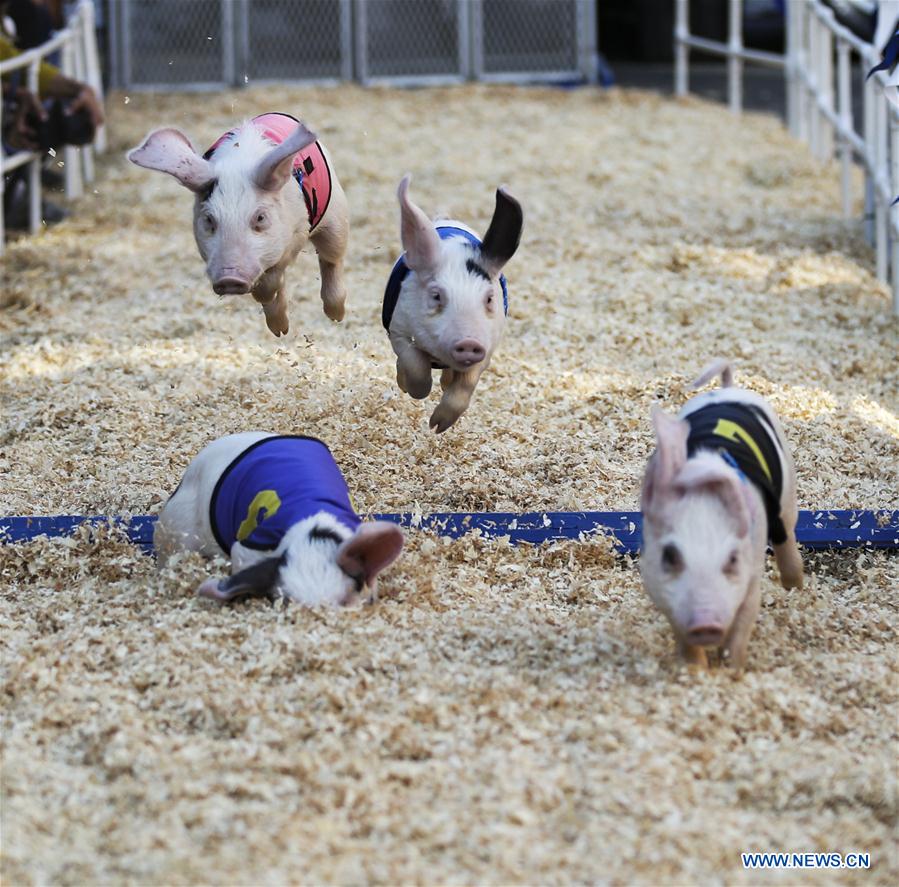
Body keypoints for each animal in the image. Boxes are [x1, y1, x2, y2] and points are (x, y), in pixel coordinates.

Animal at [128, 112, 349, 337]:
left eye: (260, 218)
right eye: (209, 219)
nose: (229, 278)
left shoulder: (297, 231)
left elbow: (274, 275)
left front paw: (274, 316)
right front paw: (279, 328)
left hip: (336, 215)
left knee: (331, 258)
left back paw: (335, 317)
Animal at [382, 174, 523, 433]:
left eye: (489, 298)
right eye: (437, 296)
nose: (469, 342)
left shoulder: (488, 345)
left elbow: (466, 383)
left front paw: (438, 427)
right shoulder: (398, 328)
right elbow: (414, 363)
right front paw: (419, 395)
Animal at [640, 359, 804, 670]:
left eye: (732, 559)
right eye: (670, 555)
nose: (706, 624)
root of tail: (728, 388)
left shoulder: (751, 575)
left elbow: (741, 628)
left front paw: (731, 671)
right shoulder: (662, 590)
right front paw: (695, 672)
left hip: (788, 487)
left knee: (787, 535)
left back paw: (795, 589)